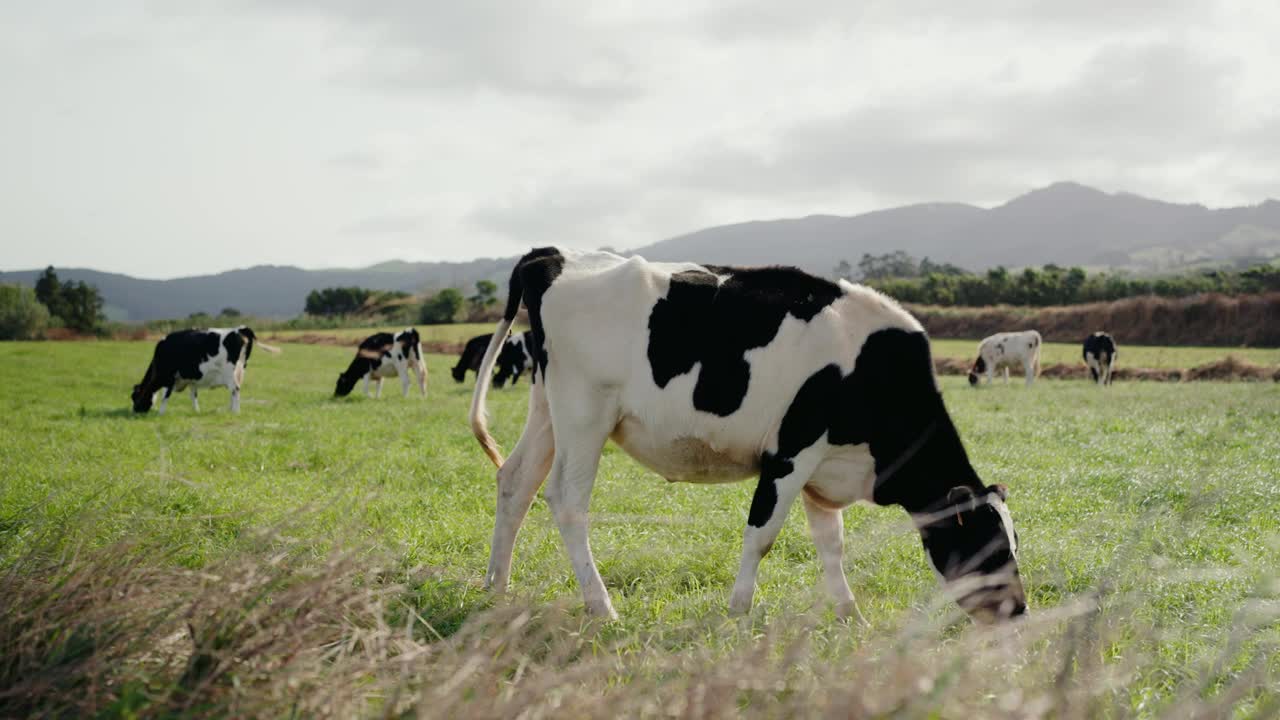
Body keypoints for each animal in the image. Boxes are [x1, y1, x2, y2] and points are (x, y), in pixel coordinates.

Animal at [131, 326, 279, 415]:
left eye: (134, 397)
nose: (134, 411)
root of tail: (240, 329)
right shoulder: (191, 380)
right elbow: (193, 395)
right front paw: (196, 411)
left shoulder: (170, 376)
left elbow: (165, 395)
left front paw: (161, 413)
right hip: (239, 370)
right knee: (234, 391)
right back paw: (230, 410)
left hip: (229, 373)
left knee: (235, 389)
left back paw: (235, 412)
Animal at [471, 245, 1029, 622]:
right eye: (989, 546)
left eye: (1014, 543)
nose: (1019, 611)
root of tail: (555, 256)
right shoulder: (790, 453)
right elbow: (761, 535)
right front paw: (738, 610)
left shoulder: (825, 469)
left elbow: (832, 543)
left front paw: (851, 615)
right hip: (585, 411)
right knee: (566, 500)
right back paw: (600, 604)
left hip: (547, 408)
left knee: (515, 483)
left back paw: (496, 589)